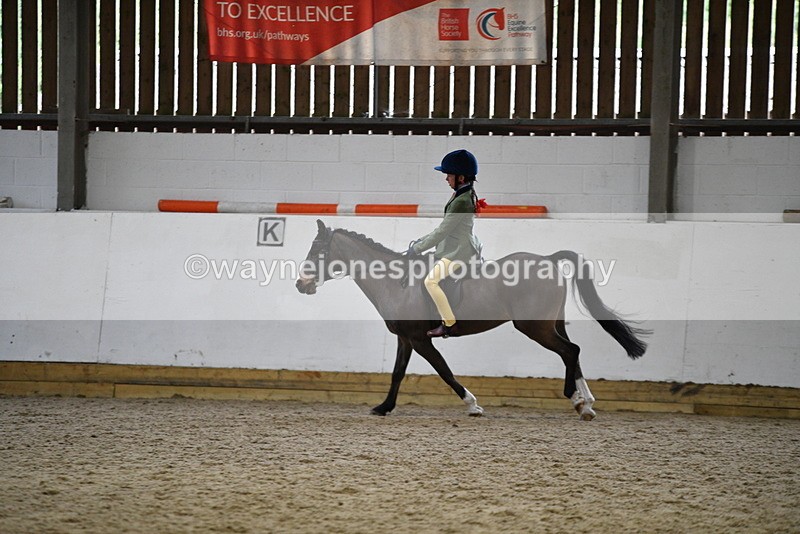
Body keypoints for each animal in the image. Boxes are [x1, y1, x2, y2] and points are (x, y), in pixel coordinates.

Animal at [295, 219, 649, 420]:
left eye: (317, 250)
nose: (301, 284)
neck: (397, 283)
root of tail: (547, 259)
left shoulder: (420, 339)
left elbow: (444, 371)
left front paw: (472, 405)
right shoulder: (405, 339)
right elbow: (397, 373)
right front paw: (384, 407)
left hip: (534, 328)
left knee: (570, 351)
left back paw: (575, 400)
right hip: (551, 324)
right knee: (572, 353)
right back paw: (585, 402)